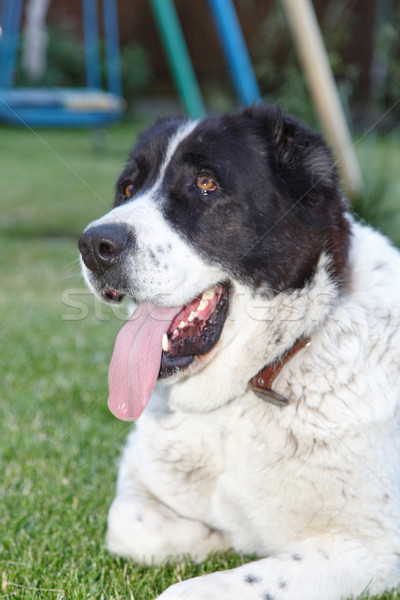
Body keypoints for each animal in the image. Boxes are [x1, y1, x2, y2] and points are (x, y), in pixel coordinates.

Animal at [78, 108, 400, 600]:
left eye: (205, 183)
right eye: (128, 189)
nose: (95, 245)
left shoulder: (373, 547)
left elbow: (197, 589)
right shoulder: (136, 474)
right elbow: (128, 522)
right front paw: (214, 537)